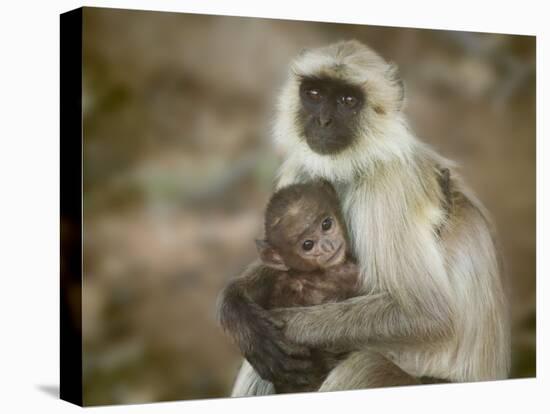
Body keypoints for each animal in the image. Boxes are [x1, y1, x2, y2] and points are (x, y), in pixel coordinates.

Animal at [221, 40, 512, 396]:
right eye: (314, 93)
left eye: (347, 101)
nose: (323, 121)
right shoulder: (303, 170)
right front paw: (239, 310)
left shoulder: (388, 183)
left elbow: (426, 313)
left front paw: (282, 329)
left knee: (365, 365)